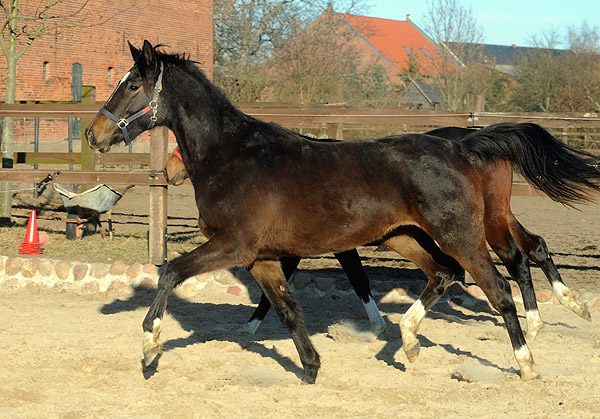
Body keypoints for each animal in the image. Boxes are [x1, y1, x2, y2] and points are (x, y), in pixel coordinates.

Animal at [85, 41, 600, 386]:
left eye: (132, 85)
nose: (93, 134)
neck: (232, 155)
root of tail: (462, 146)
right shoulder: (262, 258)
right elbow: (287, 309)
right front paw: (310, 369)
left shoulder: (234, 245)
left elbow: (170, 271)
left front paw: (149, 349)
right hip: (403, 236)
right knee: (446, 274)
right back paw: (408, 339)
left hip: (462, 235)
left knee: (501, 285)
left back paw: (527, 360)